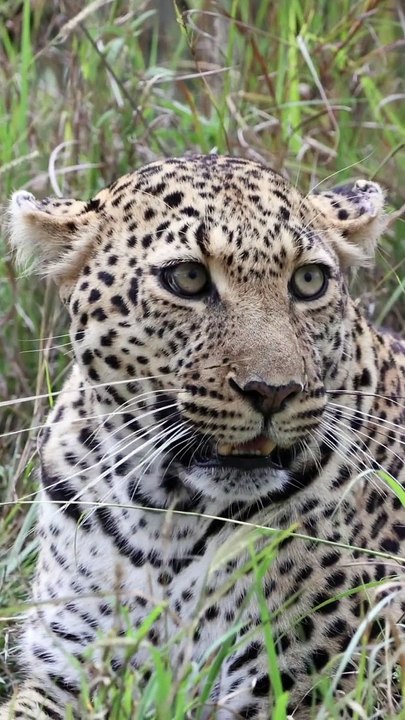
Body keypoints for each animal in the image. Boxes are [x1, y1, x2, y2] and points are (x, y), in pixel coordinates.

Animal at [2, 154, 405, 720]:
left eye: (308, 281)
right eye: (188, 278)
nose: (273, 391)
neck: (163, 518)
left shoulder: (310, 691)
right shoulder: (65, 670)